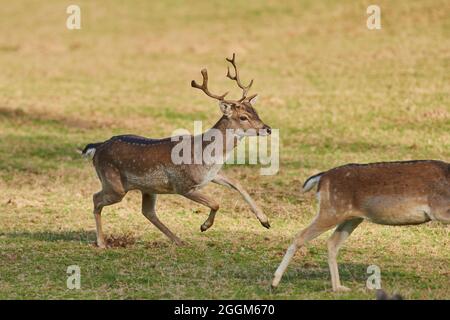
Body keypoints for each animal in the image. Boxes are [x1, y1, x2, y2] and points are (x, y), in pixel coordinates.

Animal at [81, 54, 270, 248]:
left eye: (256, 111)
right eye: (243, 117)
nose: (267, 129)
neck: (207, 156)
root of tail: (97, 147)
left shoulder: (210, 175)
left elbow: (238, 184)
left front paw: (265, 221)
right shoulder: (183, 185)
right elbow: (216, 203)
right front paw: (204, 226)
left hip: (147, 188)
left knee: (147, 212)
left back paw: (179, 240)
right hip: (113, 183)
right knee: (96, 199)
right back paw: (102, 243)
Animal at [270, 160, 450, 292]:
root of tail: (322, 177)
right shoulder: (439, 210)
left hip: (351, 217)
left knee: (332, 242)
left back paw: (339, 288)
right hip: (332, 210)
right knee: (300, 236)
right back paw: (274, 282)